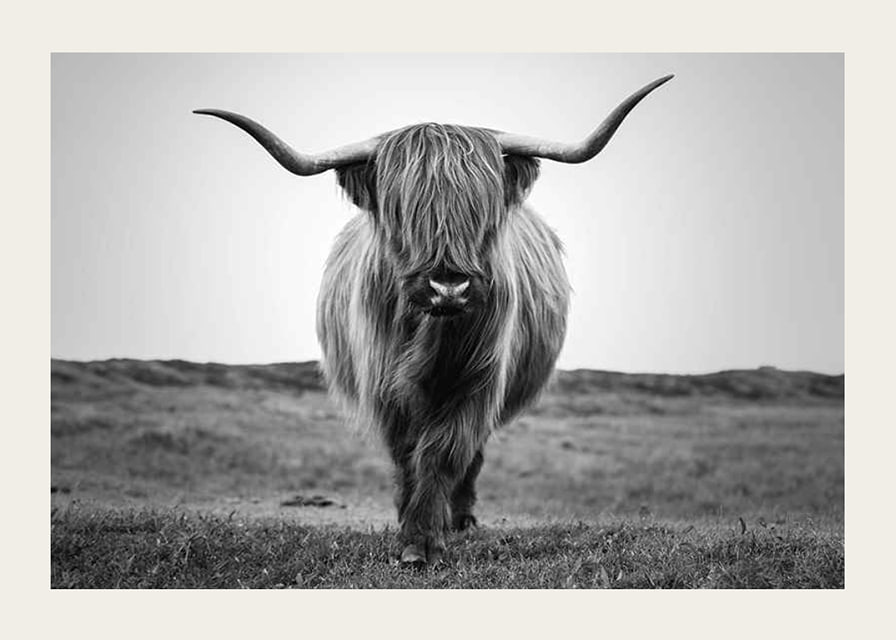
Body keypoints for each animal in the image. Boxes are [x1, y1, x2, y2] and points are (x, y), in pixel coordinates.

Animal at [194, 74, 672, 564]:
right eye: (402, 211)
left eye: (482, 210)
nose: (448, 288)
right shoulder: (384, 386)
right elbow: (407, 454)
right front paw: (410, 531)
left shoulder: (477, 381)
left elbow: (444, 451)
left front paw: (425, 538)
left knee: (471, 456)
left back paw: (459, 518)